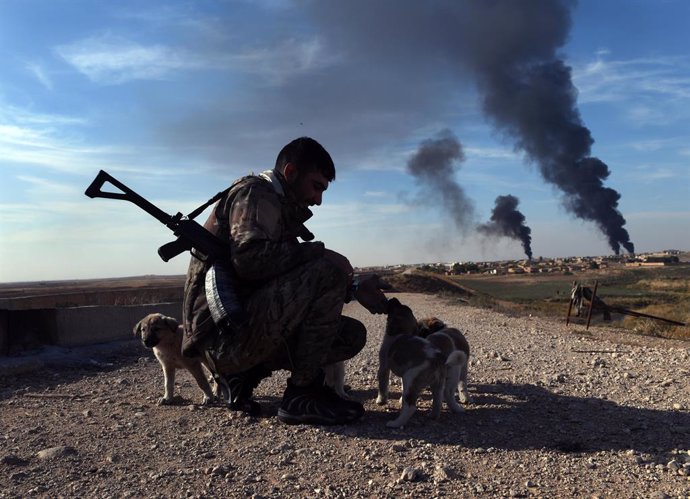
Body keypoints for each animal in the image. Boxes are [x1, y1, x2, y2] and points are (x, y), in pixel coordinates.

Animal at [376, 298, 468, 428]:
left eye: (395, 306)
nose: (393, 298)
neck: (401, 332)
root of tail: (439, 359)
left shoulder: (384, 367)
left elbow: (382, 385)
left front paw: (380, 400)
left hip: (410, 378)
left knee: (410, 407)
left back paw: (395, 423)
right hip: (437, 384)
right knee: (438, 401)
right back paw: (432, 415)